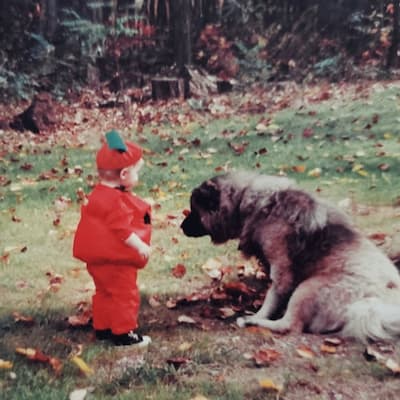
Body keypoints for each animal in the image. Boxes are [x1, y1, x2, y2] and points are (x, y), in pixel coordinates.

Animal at [180, 170, 400, 342]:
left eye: (193, 210)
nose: (181, 227)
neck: (247, 203)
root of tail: (375, 303)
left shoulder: (281, 268)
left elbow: (272, 296)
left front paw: (260, 313)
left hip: (308, 288)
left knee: (289, 325)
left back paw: (252, 321)